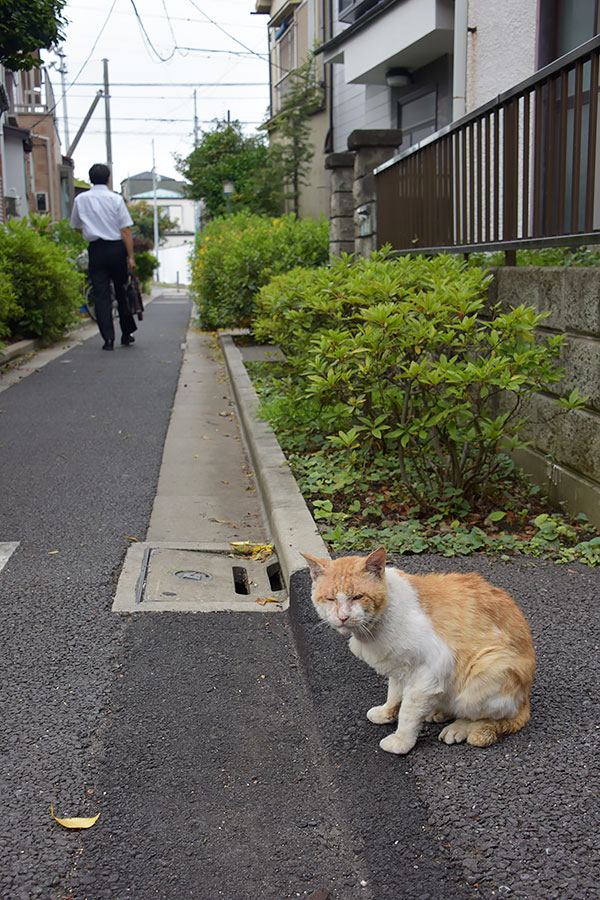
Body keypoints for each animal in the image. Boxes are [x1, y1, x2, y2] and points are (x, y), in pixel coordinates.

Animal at [300, 548, 536, 752]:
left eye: (358, 597)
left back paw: (458, 728)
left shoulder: (429, 671)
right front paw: (386, 713)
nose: (343, 617)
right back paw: (439, 712)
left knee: (491, 717)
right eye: (330, 599)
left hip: (485, 671)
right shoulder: (398, 667)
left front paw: (401, 741)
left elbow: (408, 712)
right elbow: (394, 695)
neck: (373, 629)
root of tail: (525, 701)